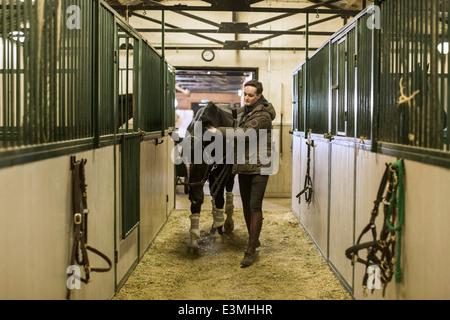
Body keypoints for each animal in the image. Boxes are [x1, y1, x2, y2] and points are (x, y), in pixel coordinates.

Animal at [182, 102, 239, 252]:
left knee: (228, 197)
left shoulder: (221, 173)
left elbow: (219, 199)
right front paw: (193, 240)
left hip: (229, 174)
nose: (194, 197)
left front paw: (219, 232)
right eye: (183, 164)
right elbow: (197, 206)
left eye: (200, 162)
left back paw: (227, 223)